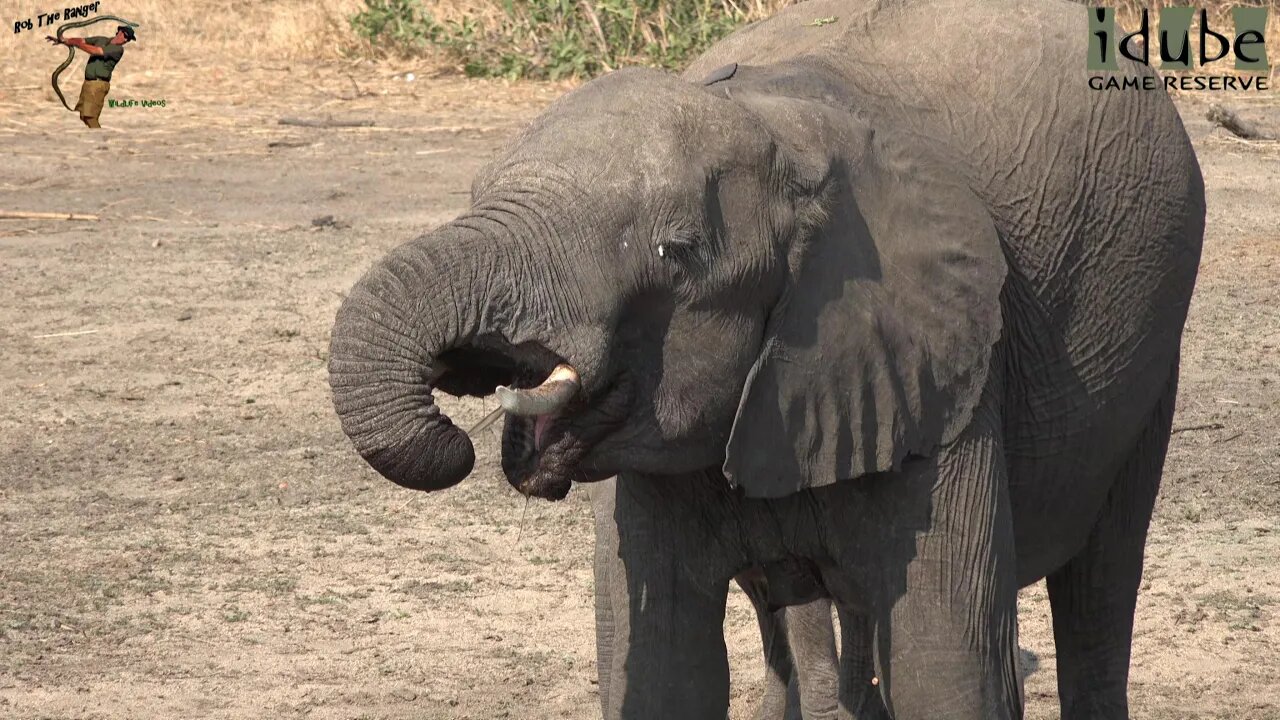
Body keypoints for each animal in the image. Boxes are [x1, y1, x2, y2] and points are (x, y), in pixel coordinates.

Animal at [327, 0, 1205, 717]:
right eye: (477, 193)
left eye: (678, 252)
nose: (460, 419)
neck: (781, 129)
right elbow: (663, 669)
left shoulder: (949, 375)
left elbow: (945, 668)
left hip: (1154, 342)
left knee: (1101, 583)